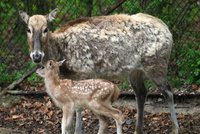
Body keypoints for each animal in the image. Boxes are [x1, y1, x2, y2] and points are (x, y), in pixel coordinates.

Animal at [19, 8, 179, 133]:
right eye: (28, 29)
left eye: (45, 29)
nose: (36, 56)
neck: (61, 52)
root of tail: (169, 32)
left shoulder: (83, 71)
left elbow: (79, 109)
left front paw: (78, 131)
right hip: (135, 71)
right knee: (141, 93)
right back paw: (137, 129)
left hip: (156, 65)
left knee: (168, 91)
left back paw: (175, 128)